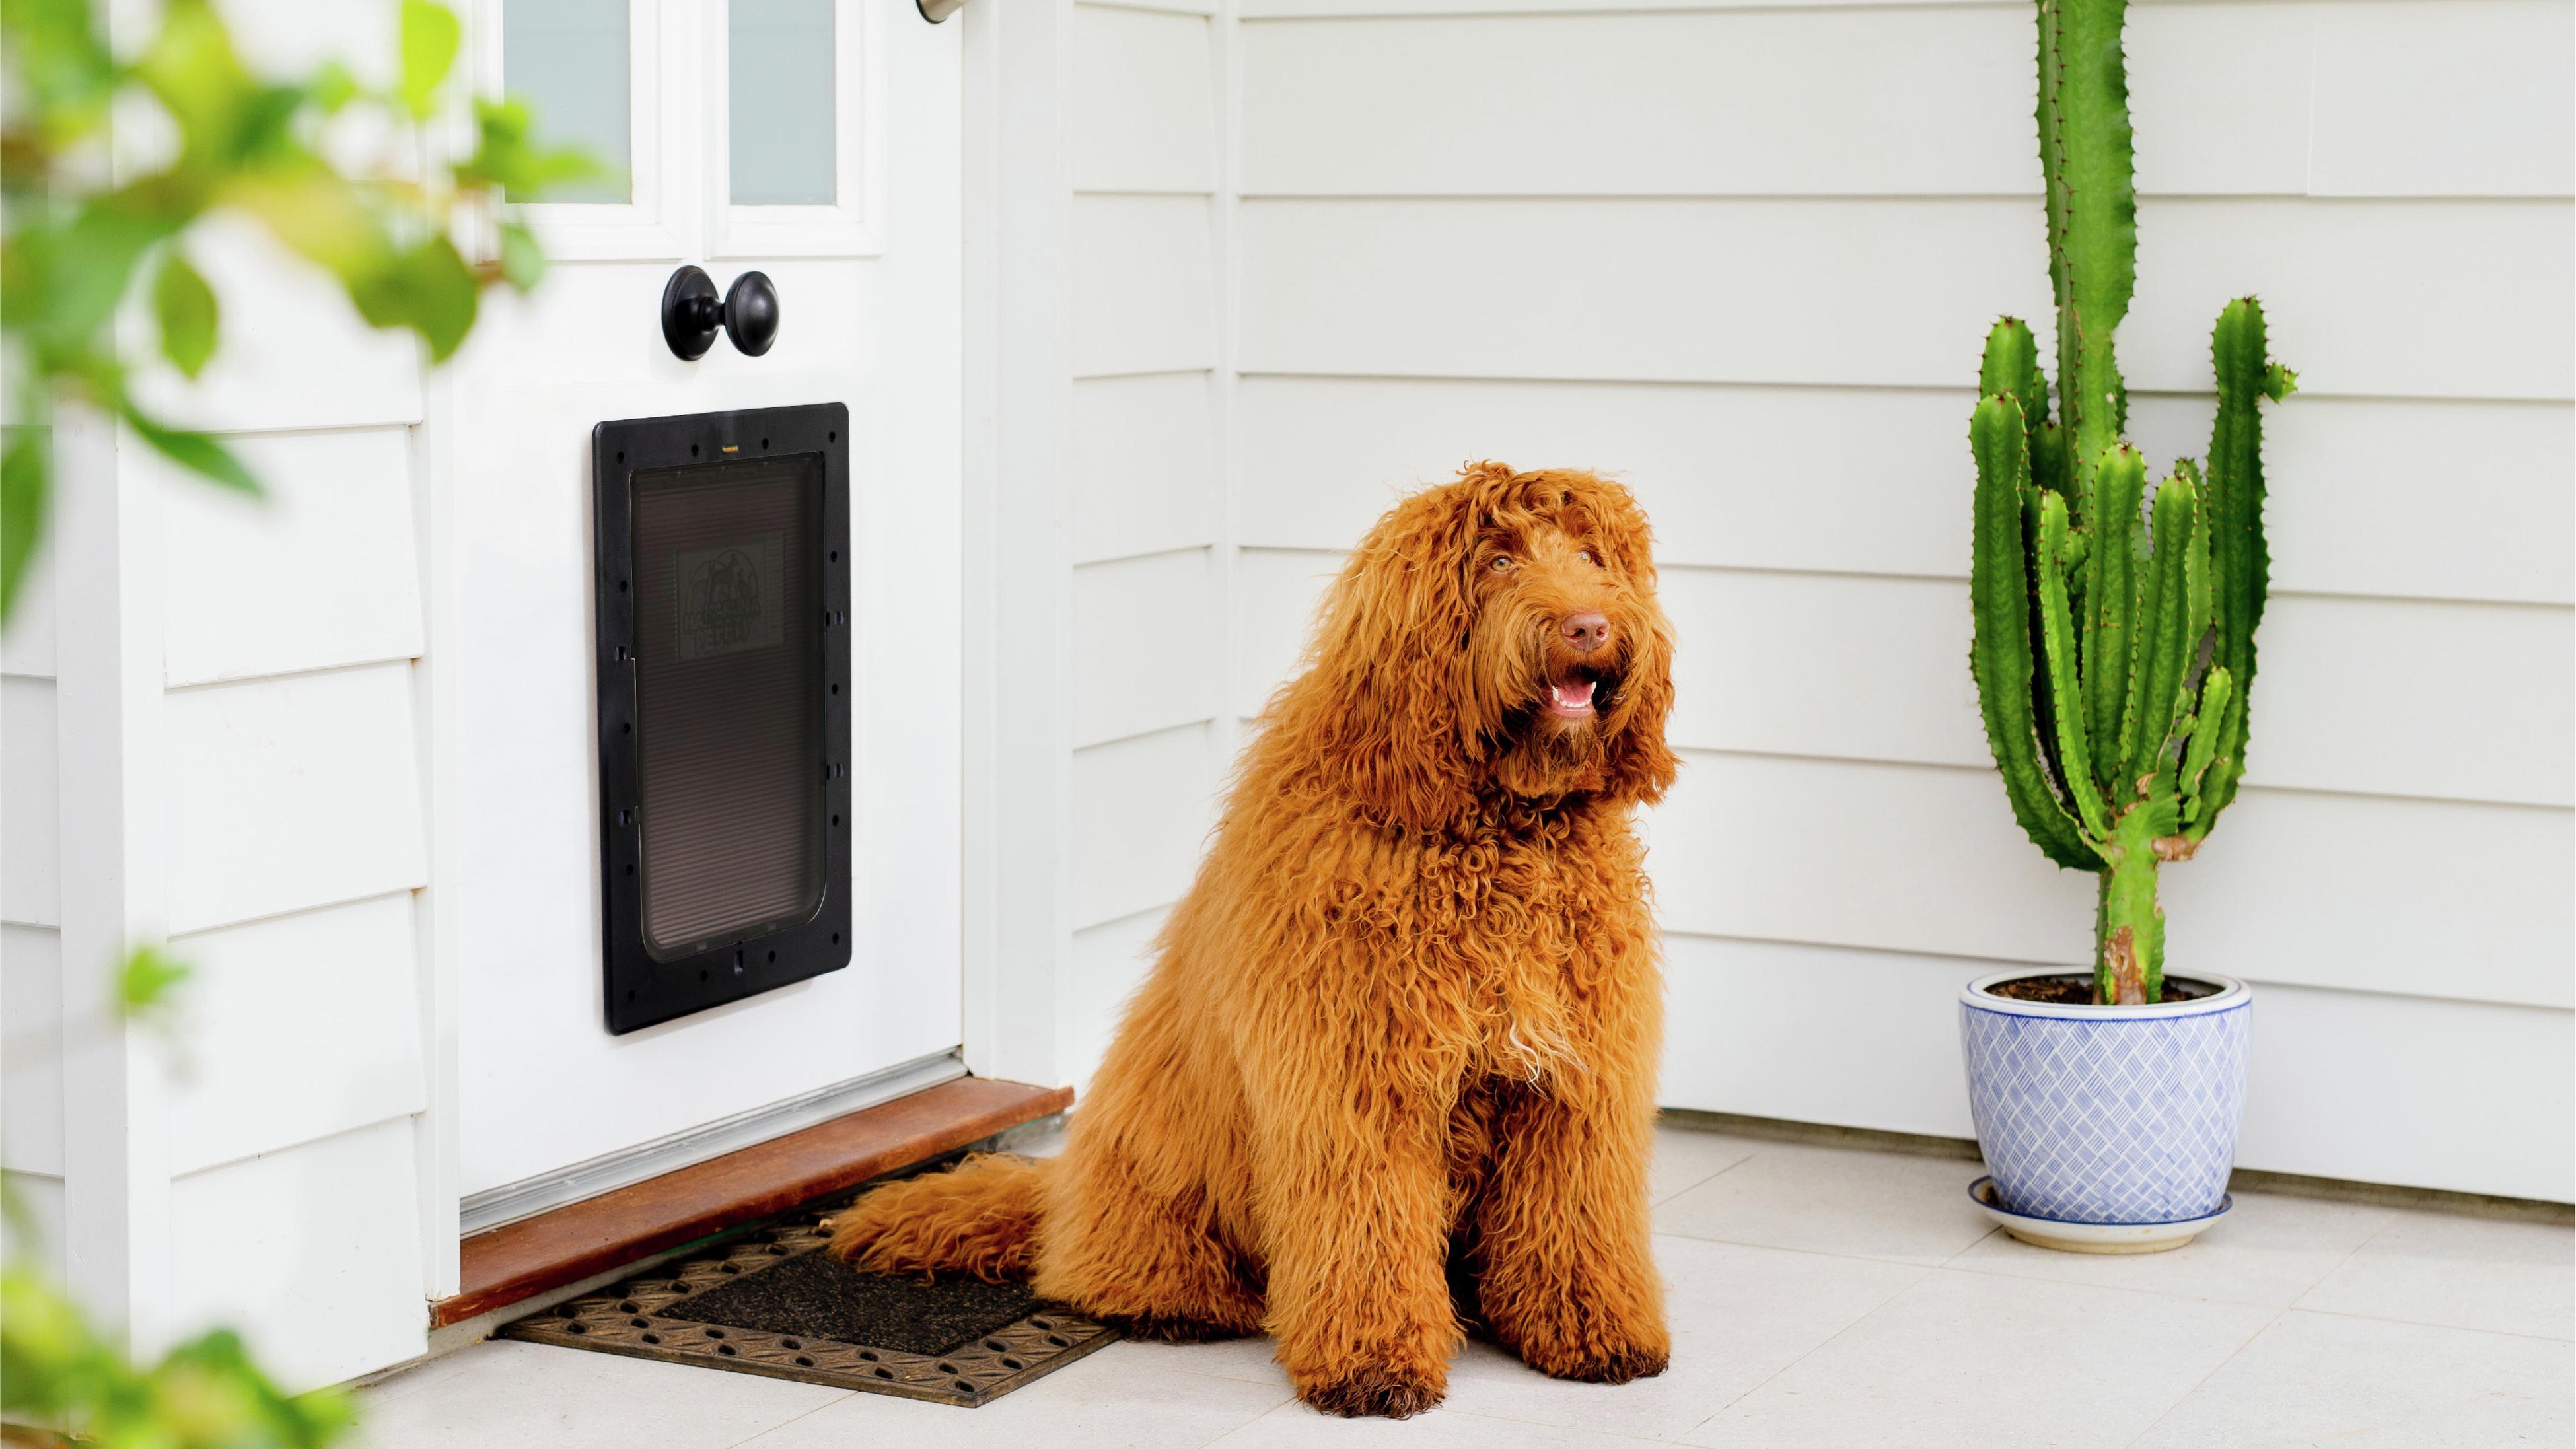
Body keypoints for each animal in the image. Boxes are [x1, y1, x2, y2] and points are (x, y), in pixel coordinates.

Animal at [824, 463, 1669, 1421]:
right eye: (1497, 560)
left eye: (1592, 557)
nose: (1589, 624)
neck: (1490, 831)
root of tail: (1061, 1186)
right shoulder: (1354, 1085)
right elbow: (1366, 1226)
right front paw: (1374, 1362)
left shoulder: (1574, 1084)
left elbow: (1576, 1215)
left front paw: (1595, 1331)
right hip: (1156, 1185)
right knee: (1100, 1270)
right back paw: (1178, 1301)